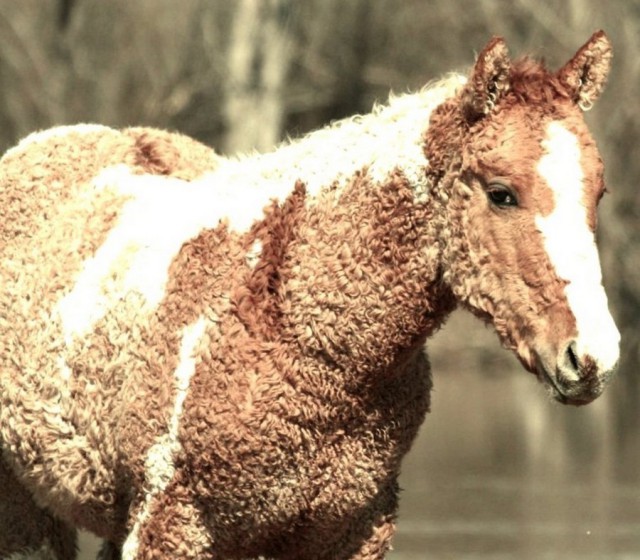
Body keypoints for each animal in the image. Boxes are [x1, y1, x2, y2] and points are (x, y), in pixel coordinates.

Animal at [0, 31, 620, 560]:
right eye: (501, 193)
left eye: (599, 192)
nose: (592, 356)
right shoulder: (171, 525)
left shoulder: (351, 531)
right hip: (28, 512)